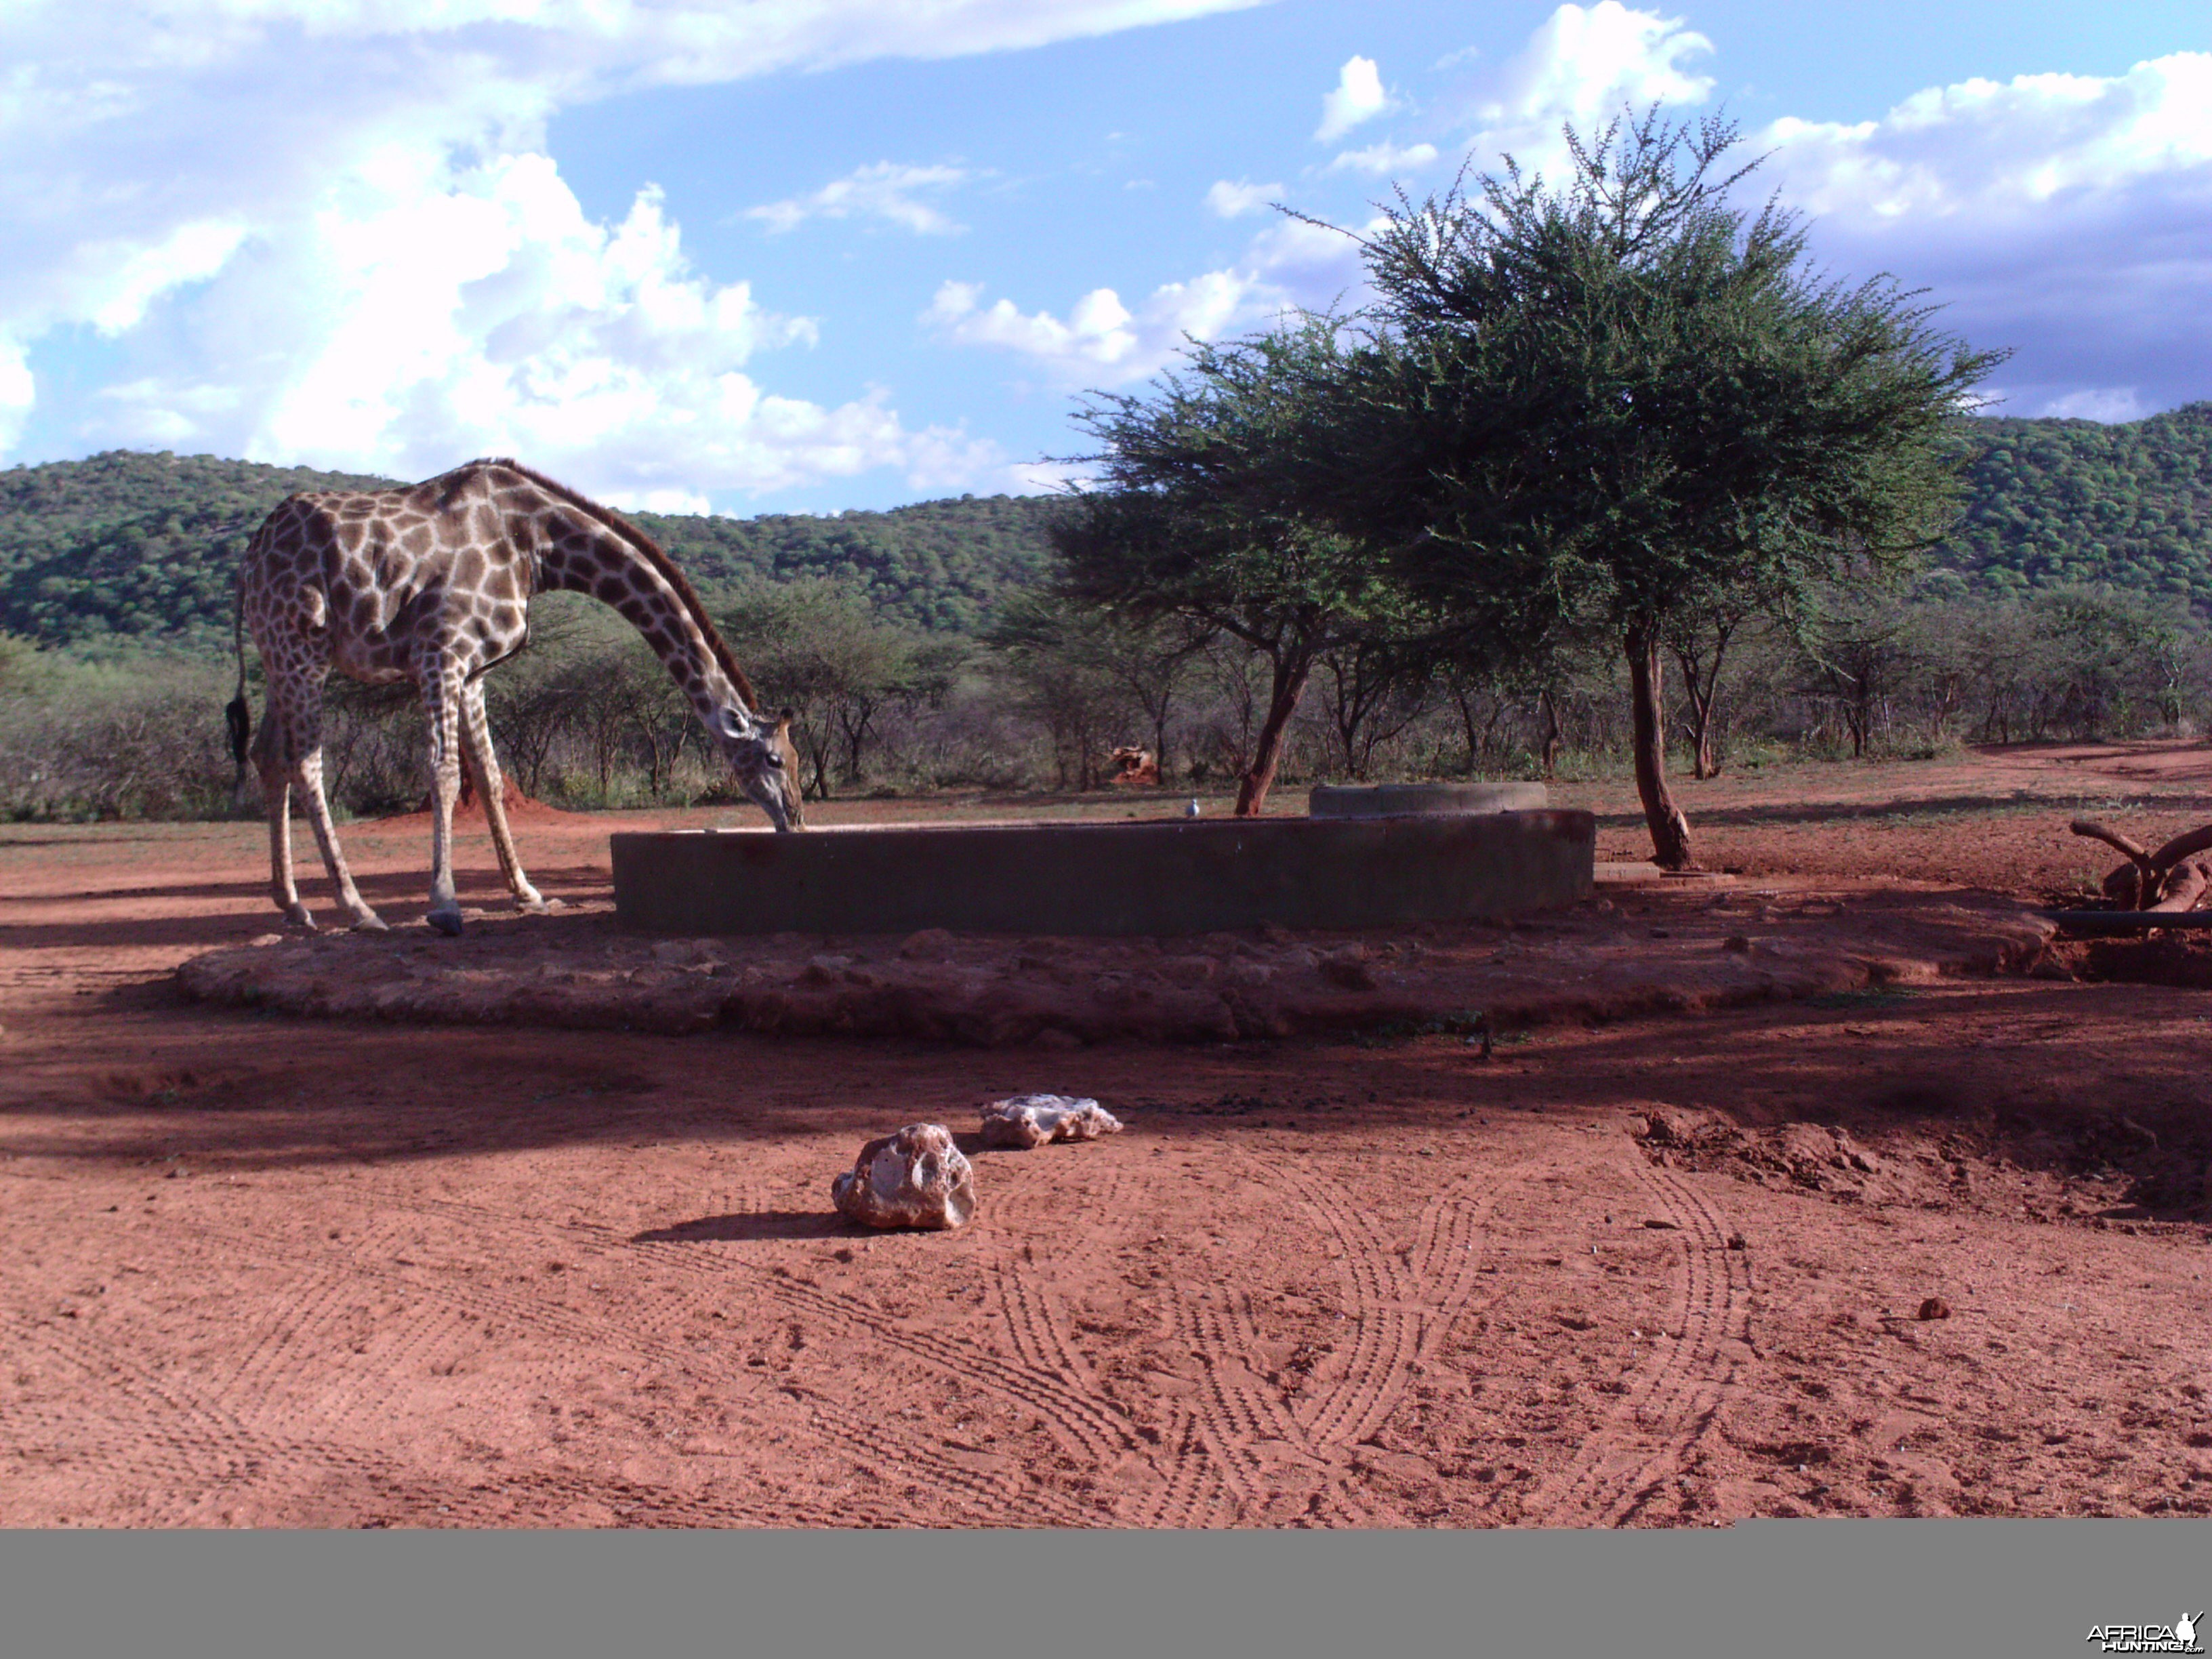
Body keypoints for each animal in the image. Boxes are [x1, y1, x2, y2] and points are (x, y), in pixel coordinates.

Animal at [224, 455, 809, 937]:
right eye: (775, 760)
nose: (796, 820)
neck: (537, 545)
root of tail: (247, 563)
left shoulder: (474, 670)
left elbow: (488, 775)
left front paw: (528, 894)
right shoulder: (441, 651)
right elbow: (444, 771)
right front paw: (444, 906)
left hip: (280, 654)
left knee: (267, 754)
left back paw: (294, 907)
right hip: (301, 646)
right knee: (305, 762)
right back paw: (357, 909)